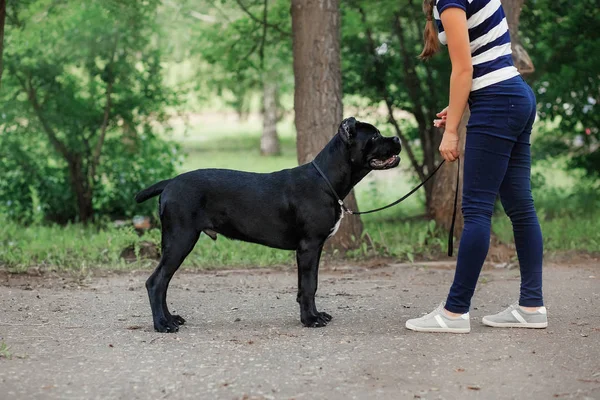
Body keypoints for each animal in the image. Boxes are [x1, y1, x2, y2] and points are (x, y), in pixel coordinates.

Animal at [134, 117, 400, 332]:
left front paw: (314, 315)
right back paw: (162, 325)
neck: (326, 180)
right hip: (181, 239)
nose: (397, 138)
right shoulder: (309, 246)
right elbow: (309, 285)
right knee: (156, 282)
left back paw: (171, 319)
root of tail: (170, 183)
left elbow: (309, 285)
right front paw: (310, 320)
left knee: (163, 282)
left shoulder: (314, 248)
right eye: (374, 136)